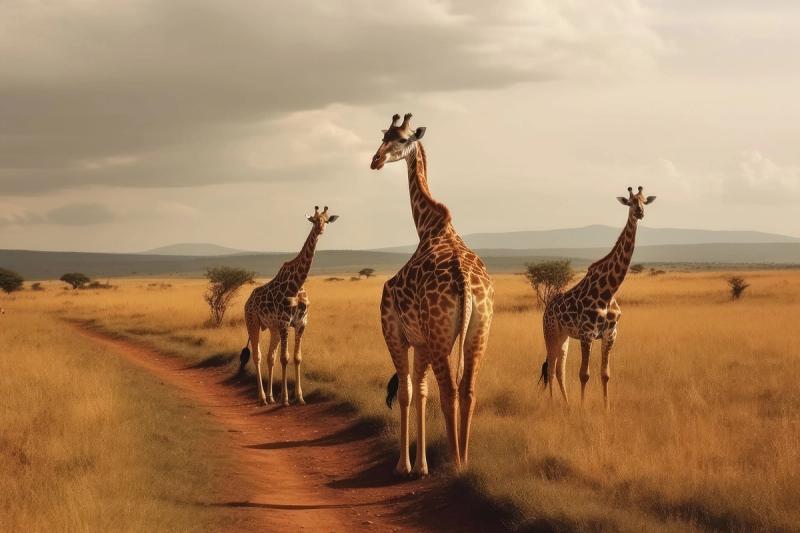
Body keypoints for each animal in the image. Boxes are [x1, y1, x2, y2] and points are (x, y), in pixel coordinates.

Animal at [239, 206, 338, 406]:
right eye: (314, 220)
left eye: (326, 220)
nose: (320, 229)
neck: (297, 285)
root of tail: (248, 301)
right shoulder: (285, 323)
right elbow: (284, 359)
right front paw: (285, 399)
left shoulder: (300, 324)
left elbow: (296, 358)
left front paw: (299, 397)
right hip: (252, 322)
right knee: (257, 356)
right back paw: (262, 397)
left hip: (273, 328)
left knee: (270, 357)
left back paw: (270, 397)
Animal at [370, 113, 494, 476]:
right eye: (383, 136)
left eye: (400, 139)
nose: (375, 160)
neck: (428, 227)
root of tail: (465, 283)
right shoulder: (423, 340)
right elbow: (420, 391)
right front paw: (420, 464)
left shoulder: (396, 332)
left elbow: (407, 391)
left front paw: (404, 465)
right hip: (478, 332)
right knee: (468, 390)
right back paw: (464, 459)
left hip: (440, 337)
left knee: (448, 391)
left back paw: (455, 462)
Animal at [540, 186, 656, 410]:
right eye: (630, 202)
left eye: (645, 200)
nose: (640, 212)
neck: (608, 292)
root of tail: (547, 309)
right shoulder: (587, 333)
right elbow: (584, 374)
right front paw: (583, 407)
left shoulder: (610, 334)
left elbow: (605, 374)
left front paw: (606, 408)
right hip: (550, 332)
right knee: (550, 367)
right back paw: (552, 403)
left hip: (564, 336)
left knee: (559, 369)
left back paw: (566, 403)